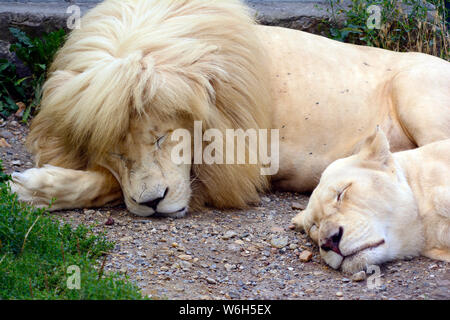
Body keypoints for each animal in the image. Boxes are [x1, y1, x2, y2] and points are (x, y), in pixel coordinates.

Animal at [8, 0, 448, 218]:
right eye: (114, 152)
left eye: (162, 138)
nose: (152, 204)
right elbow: (113, 179)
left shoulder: (236, 161)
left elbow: (114, 184)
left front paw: (32, 187)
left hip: (415, 87)